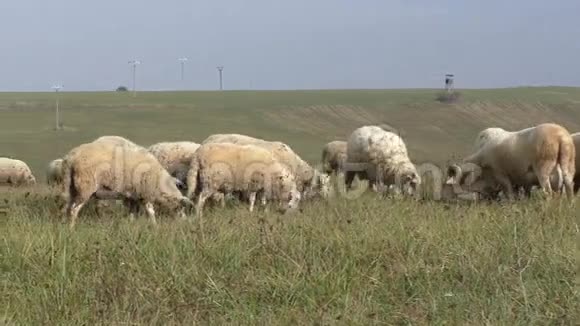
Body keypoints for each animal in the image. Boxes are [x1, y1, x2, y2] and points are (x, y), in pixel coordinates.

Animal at [61, 141, 194, 228]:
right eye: (181, 208)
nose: (185, 222)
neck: (159, 183)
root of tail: (70, 158)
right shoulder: (145, 194)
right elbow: (151, 212)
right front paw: (154, 225)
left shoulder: (133, 196)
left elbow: (132, 213)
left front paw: (131, 225)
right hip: (85, 187)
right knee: (74, 210)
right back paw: (72, 228)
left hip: (72, 188)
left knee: (68, 208)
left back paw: (67, 226)